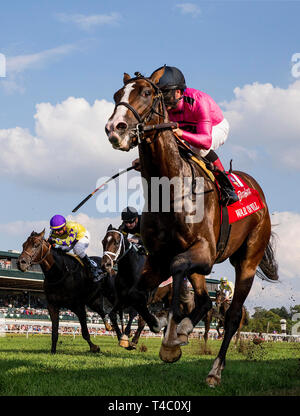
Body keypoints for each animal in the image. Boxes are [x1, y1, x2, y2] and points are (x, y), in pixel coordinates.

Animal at [105, 67, 278, 386]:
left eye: (146, 92)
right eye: (116, 95)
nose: (115, 128)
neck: (171, 190)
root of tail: (256, 191)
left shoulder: (204, 255)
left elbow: (176, 271)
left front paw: (169, 336)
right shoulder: (157, 258)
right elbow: (136, 294)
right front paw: (164, 329)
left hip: (248, 260)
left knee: (232, 316)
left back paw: (214, 369)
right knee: (205, 302)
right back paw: (184, 331)